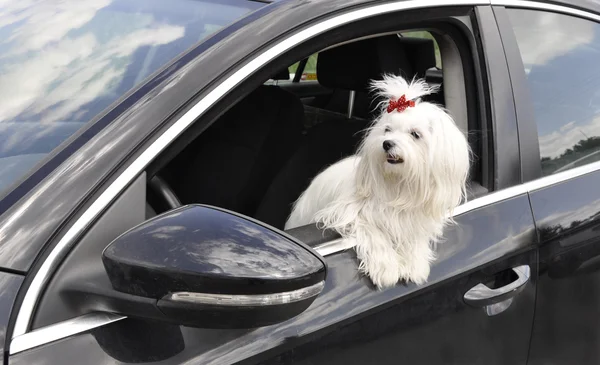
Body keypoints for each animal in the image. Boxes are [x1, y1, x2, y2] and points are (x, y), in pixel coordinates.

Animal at [284, 74, 472, 288]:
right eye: (387, 130)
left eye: (415, 134)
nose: (387, 143)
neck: (399, 184)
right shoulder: (348, 213)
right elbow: (374, 232)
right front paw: (387, 269)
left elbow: (415, 239)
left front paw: (415, 264)